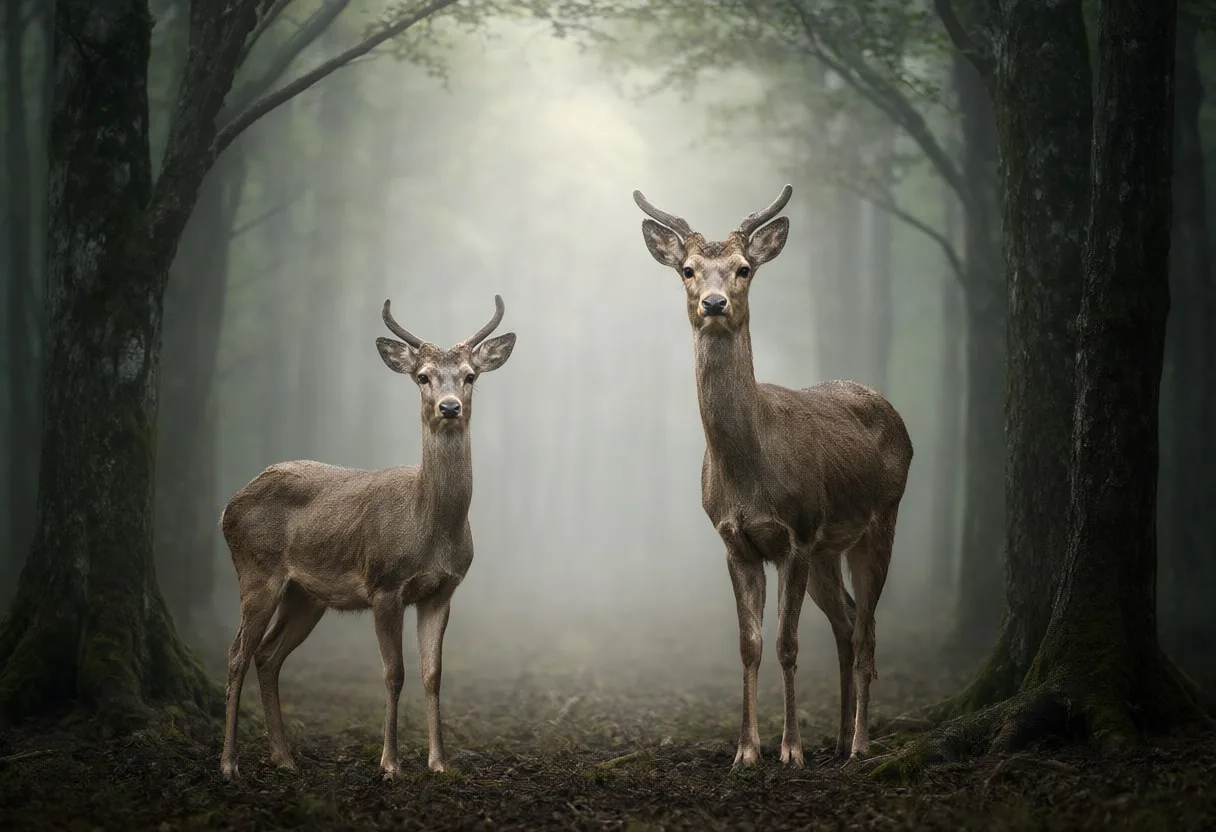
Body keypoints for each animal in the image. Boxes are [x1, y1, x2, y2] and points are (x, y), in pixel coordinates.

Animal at [217, 295, 516, 782]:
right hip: (256, 571)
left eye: (470, 375)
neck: (429, 528)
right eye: (423, 376)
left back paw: (284, 757)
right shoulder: (384, 585)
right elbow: (394, 673)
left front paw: (439, 762)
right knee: (237, 652)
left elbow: (433, 674)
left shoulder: (443, 590)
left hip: (305, 594)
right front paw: (390, 763)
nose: (449, 407)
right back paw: (229, 762)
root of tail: (227, 507)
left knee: (268, 654)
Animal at [633, 185, 913, 769]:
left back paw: (859, 744)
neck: (749, 475)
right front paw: (745, 750)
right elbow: (750, 644)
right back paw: (840, 736)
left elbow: (787, 643)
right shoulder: (735, 542)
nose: (714, 303)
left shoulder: (797, 535)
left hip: (881, 519)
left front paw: (790, 750)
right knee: (847, 619)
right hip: (831, 547)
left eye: (743, 268)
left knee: (869, 629)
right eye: (688, 270)